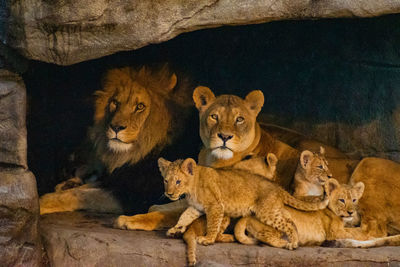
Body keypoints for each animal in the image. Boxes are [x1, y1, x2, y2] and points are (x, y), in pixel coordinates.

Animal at [39, 65, 198, 216]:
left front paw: (42, 202)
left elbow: (81, 196)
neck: (138, 152)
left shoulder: (136, 195)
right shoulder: (116, 179)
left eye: (140, 106)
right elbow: (88, 187)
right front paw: (61, 189)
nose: (115, 127)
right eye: (115, 102)